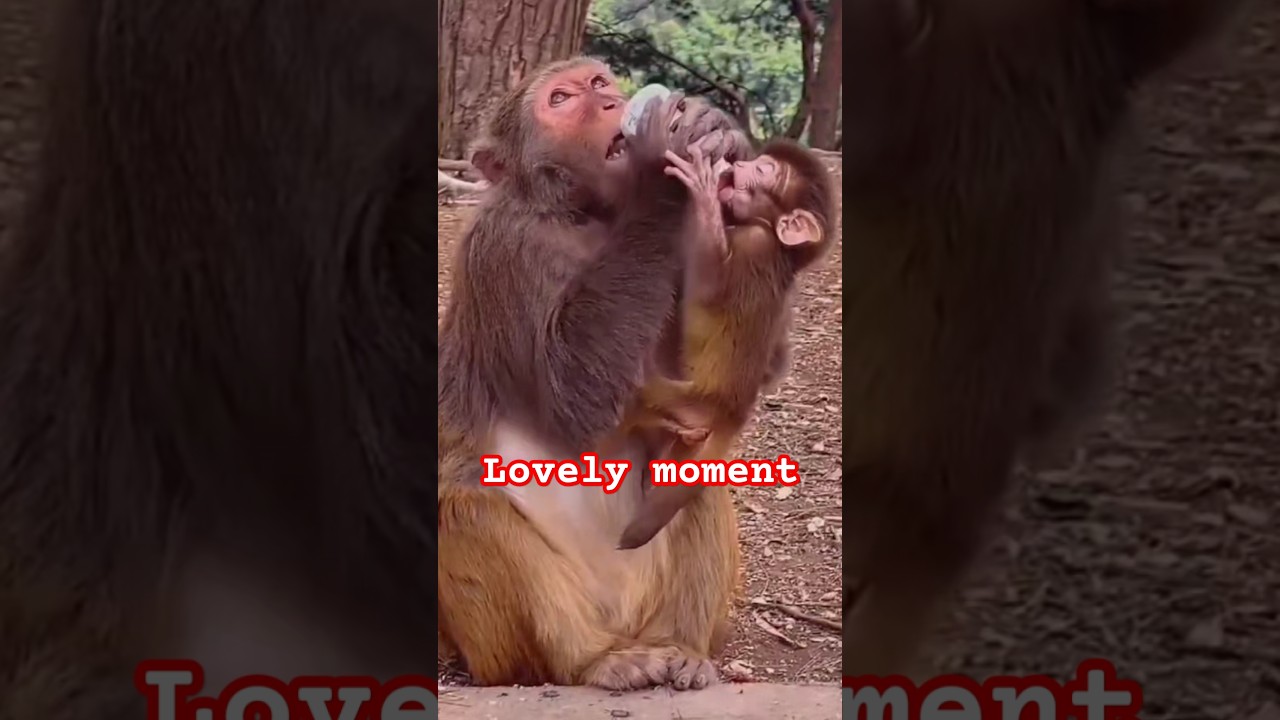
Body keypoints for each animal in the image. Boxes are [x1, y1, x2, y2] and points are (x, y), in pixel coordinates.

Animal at [436, 57, 756, 692]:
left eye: (600, 83)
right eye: (561, 100)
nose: (612, 104)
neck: (589, 216)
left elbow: (690, 399)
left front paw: (711, 132)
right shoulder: (506, 248)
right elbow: (573, 397)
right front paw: (661, 167)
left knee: (699, 470)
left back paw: (681, 647)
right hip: (502, 649)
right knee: (465, 506)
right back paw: (594, 661)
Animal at [613, 138, 837, 551]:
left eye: (763, 170)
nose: (738, 164)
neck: (767, 232)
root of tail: (735, 410)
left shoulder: (754, 245)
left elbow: (707, 288)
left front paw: (703, 189)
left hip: (690, 402)